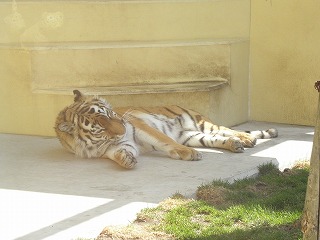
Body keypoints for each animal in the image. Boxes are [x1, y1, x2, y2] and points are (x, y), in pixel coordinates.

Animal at [54, 90, 278, 169]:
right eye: (99, 130)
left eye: (109, 114)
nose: (122, 129)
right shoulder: (112, 147)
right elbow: (119, 153)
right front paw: (126, 160)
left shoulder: (139, 126)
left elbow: (165, 141)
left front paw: (189, 154)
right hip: (191, 135)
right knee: (215, 138)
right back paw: (235, 145)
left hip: (200, 122)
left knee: (225, 129)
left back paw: (246, 139)